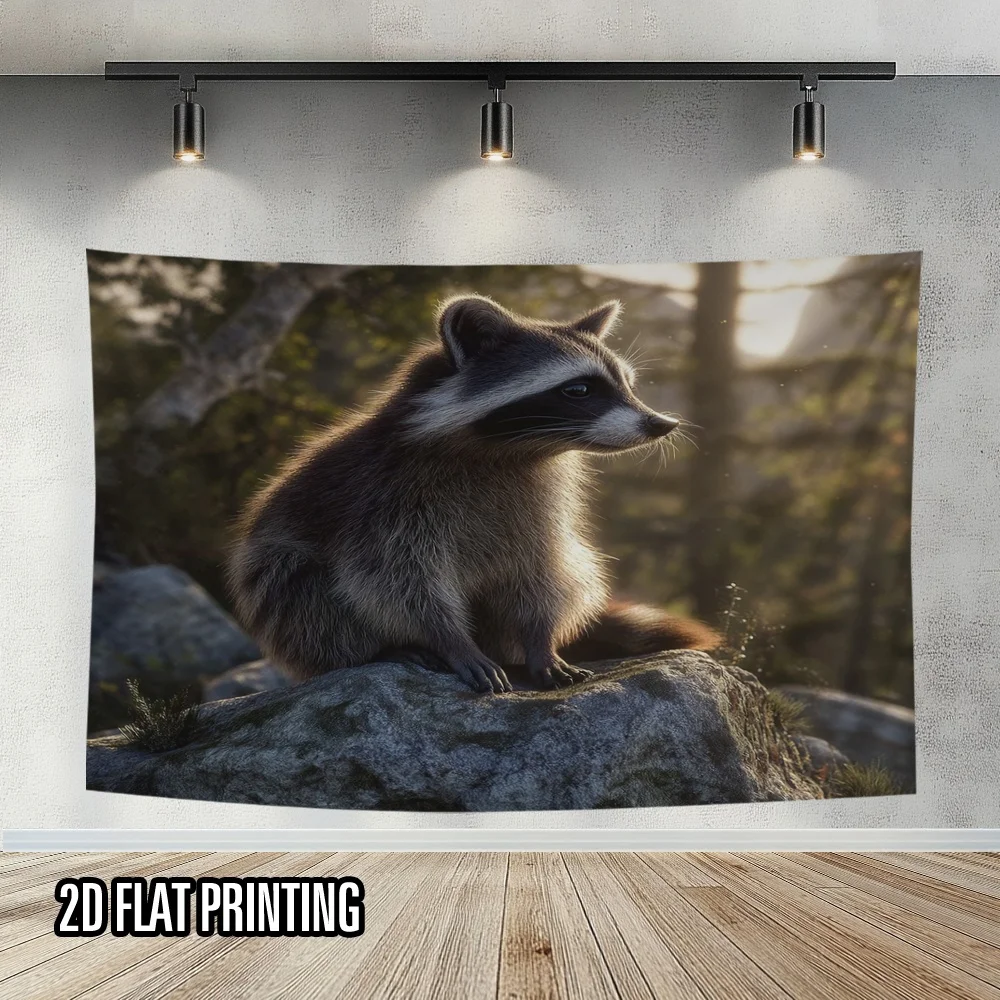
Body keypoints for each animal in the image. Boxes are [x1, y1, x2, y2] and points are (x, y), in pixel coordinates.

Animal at [227, 294, 718, 694]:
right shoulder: (384, 497)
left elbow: (542, 567)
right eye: (579, 389)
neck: (511, 452)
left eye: (628, 385)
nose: (663, 424)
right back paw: (379, 650)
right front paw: (451, 641)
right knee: (303, 590)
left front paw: (540, 640)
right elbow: (397, 580)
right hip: (279, 589)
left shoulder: (539, 499)